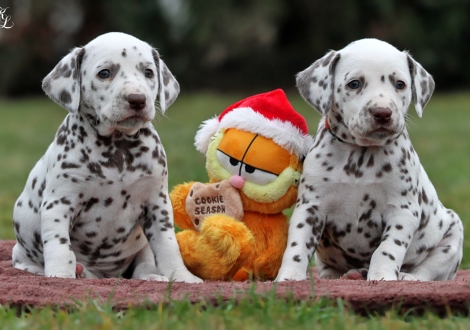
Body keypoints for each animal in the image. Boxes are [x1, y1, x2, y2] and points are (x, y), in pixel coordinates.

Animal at [11, 31, 202, 284]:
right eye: (104, 73)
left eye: (148, 72)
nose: (137, 99)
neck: (117, 147)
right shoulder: (59, 204)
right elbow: (60, 247)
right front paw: (60, 277)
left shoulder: (157, 203)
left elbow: (168, 245)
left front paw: (181, 277)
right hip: (22, 254)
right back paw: (78, 272)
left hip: (141, 247)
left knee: (143, 264)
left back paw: (152, 276)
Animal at [276, 38, 462, 282]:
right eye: (354, 84)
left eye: (400, 84)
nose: (382, 113)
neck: (361, 156)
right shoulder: (310, 207)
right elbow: (297, 245)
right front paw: (289, 278)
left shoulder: (403, 210)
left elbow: (388, 248)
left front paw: (382, 277)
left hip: (453, 233)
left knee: (430, 269)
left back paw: (408, 277)